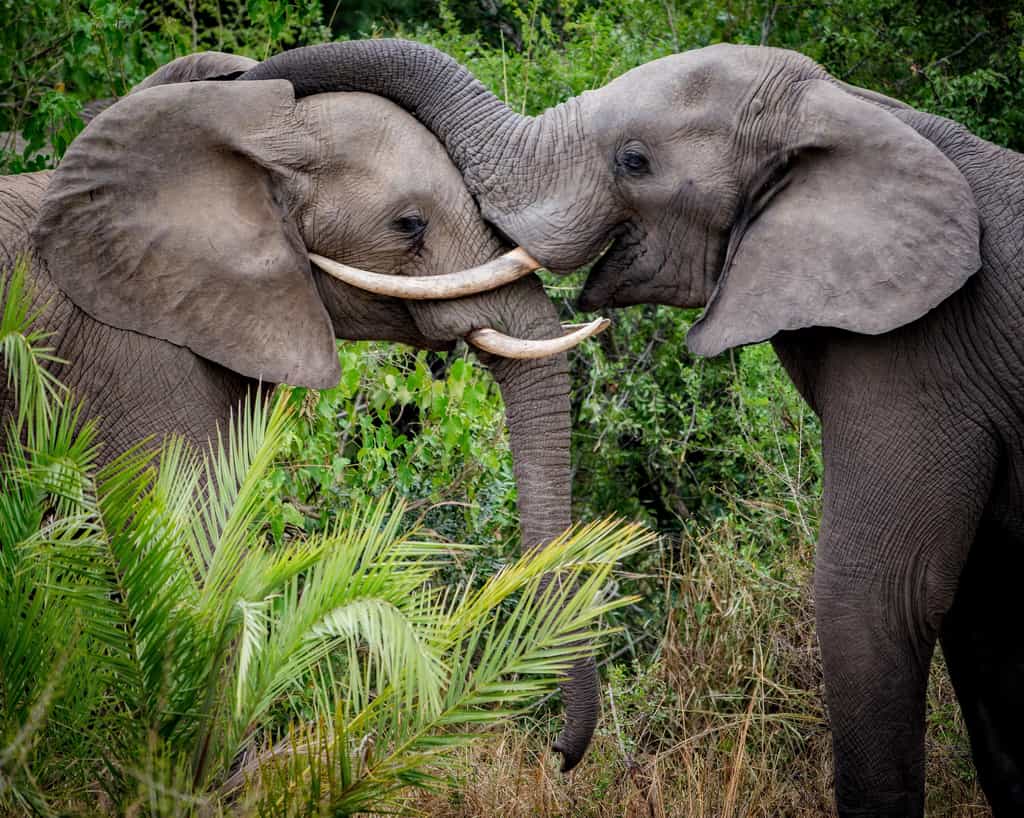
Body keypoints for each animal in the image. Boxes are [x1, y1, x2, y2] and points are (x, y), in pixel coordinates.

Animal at [242, 39, 1024, 815]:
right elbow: (978, 609)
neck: (854, 107)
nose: (556, 754)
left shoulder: (922, 352)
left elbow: (876, 597)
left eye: (634, 160)